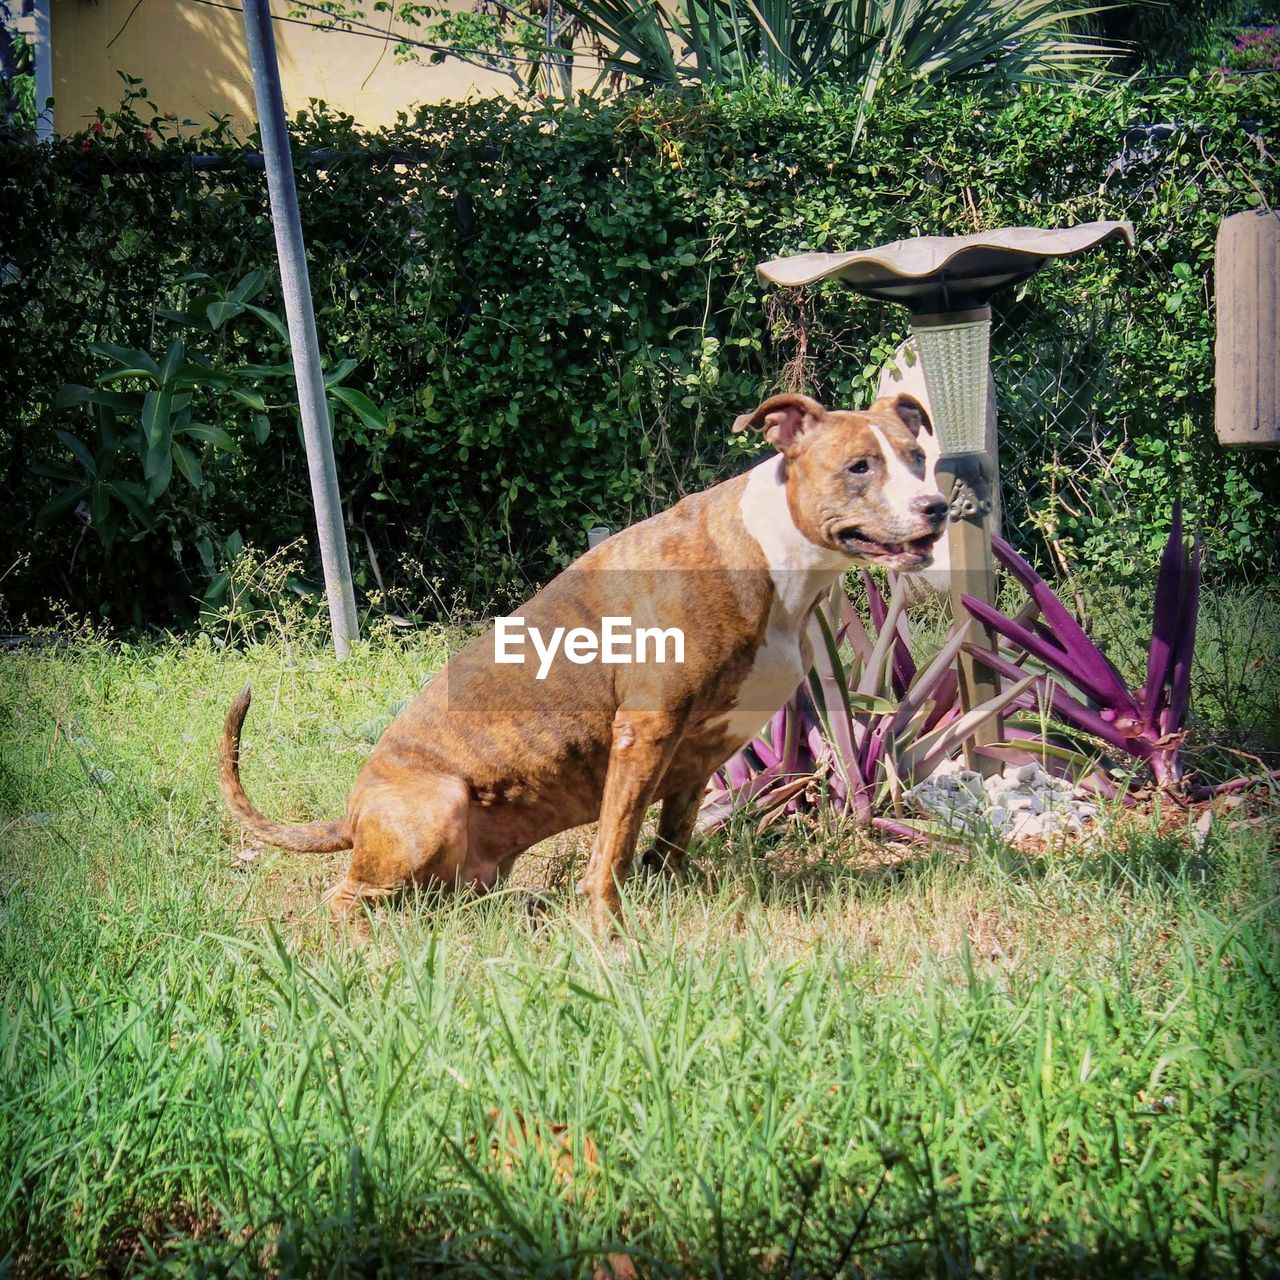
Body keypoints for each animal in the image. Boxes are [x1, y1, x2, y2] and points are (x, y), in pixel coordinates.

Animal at [220, 389, 947, 931]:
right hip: (436, 807)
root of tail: (350, 817)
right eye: (860, 466)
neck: (775, 553)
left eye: (917, 457)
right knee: (346, 899)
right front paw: (609, 930)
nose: (937, 505)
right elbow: (614, 845)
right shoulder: (645, 729)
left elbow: (672, 836)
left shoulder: (702, 746)